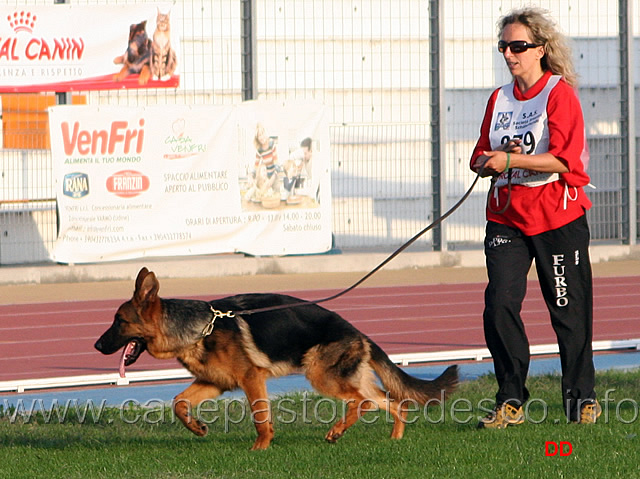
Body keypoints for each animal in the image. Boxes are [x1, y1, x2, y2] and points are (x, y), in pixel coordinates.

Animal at [92, 270, 458, 450]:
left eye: (119, 321)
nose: (96, 345)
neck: (198, 329)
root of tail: (358, 332)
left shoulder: (252, 379)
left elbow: (260, 417)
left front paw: (261, 447)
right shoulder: (214, 383)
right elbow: (178, 403)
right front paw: (197, 428)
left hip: (322, 376)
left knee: (363, 402)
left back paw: (337, 432)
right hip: (347, 378)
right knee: (392, 402)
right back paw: (395, 438)